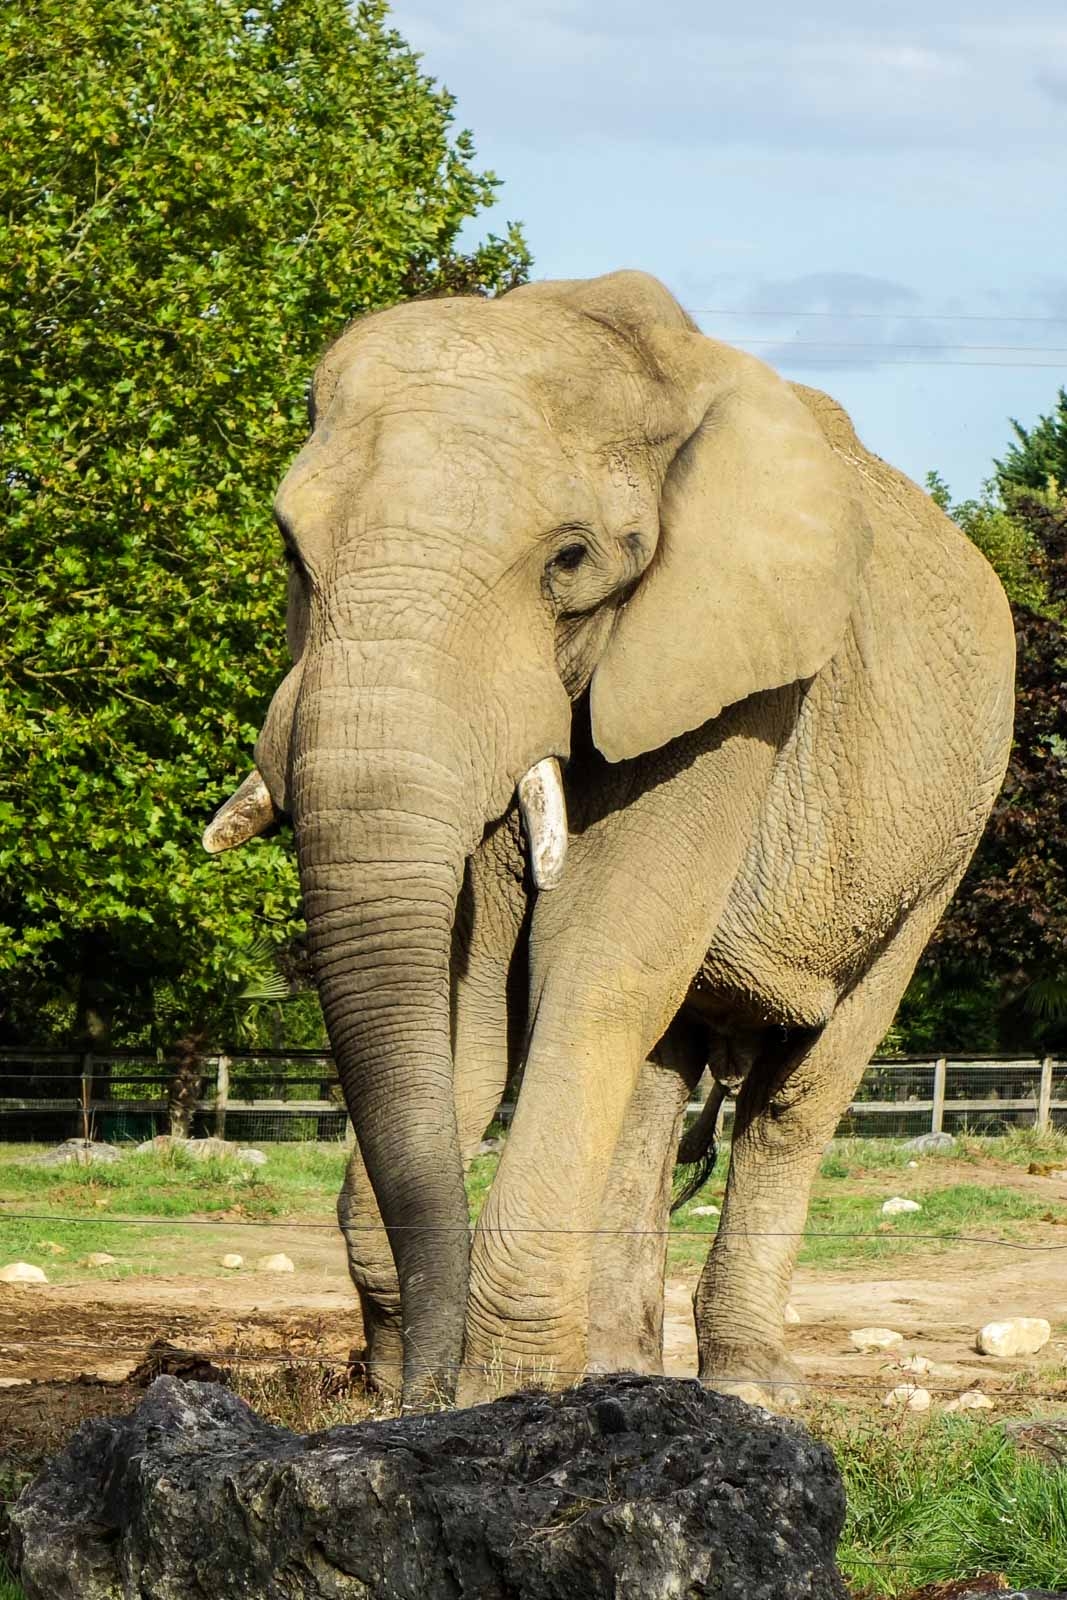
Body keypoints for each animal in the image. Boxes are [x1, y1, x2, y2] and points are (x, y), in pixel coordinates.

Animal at [204, 270, 1015, 1409]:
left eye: (570, 559)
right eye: (289, 549)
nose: (406, 1388)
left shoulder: (729, 673)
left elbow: (594, 957)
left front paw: (506, 1397)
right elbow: (469, 999)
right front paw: (464, 1389)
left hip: (946, 837)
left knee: (794, 1096)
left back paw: (751, 1390)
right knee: (657, 1073)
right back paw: (629, 1372)